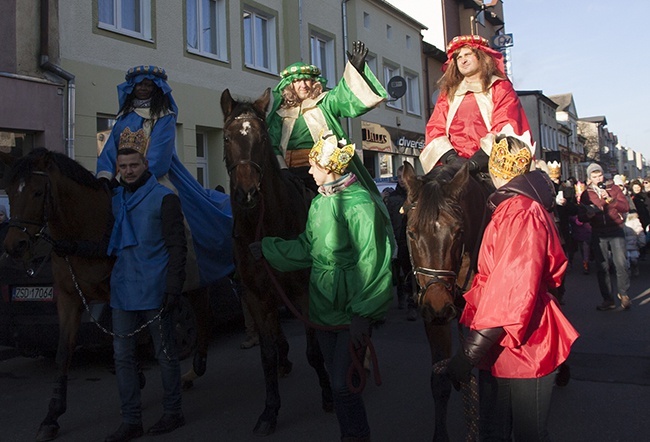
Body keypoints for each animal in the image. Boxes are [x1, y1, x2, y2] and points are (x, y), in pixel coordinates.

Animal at [1, 149, 211, 442]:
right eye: (9, 191)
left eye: (36, 192)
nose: (14, 246)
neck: (85, 228)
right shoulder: (68, 300)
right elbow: (63, 354)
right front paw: (51, 417)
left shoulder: (118, 296)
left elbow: (126, 340)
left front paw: (137, 377)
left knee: (202, 308)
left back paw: (197, 365)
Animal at [220, 89, 332, 436]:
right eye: (227, 136)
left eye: (262, 138)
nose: (247, 193)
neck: (264, 226)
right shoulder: (256, 295)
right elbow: (266, 356)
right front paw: (270, 410)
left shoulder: (303, 292)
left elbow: (314, 350)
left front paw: (329, 393)